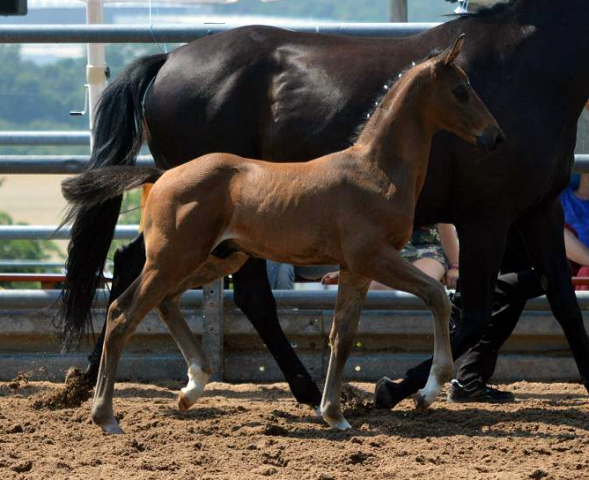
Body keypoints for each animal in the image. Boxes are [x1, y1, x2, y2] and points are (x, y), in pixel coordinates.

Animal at [60, 0, 588, 406]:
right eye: (461, 91)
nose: (494, 137)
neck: (530, 68)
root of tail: (168, 60)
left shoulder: (540, 211)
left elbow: (563, 300)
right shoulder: (486, 218)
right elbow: (473, 312)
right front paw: (394, 389)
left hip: (206, 231)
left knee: (134, 264)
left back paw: (87, 378)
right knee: (242, 295)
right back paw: (310, 391)